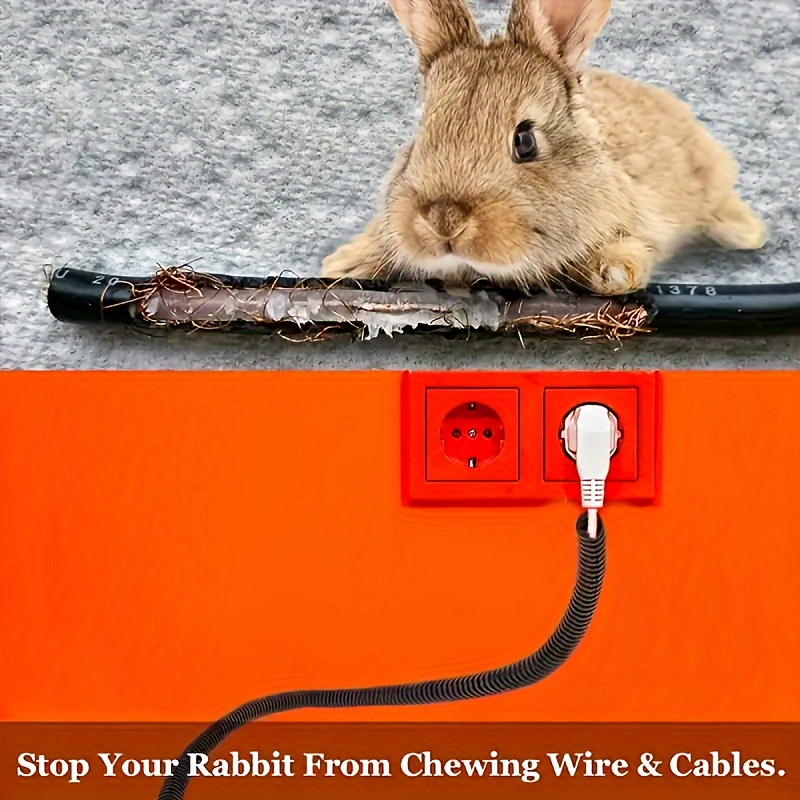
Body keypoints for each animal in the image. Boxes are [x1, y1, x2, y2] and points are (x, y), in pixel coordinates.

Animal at [321, 0, 767, 295]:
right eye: (421, 133)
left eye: (525, 140)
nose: (444, 221)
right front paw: (343, 264)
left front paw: (614, 274)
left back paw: (749, 232)